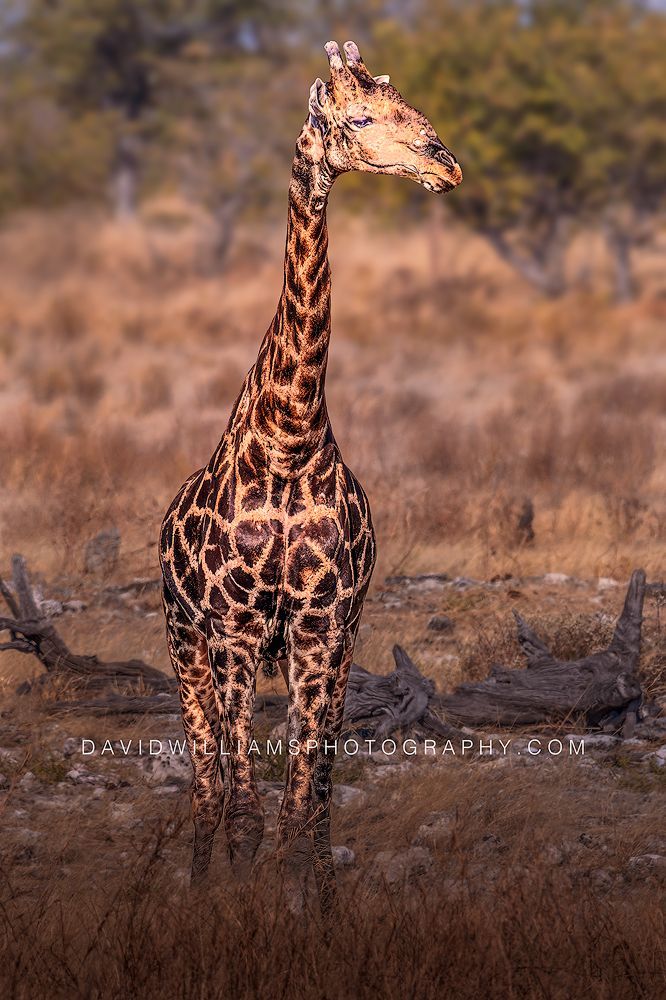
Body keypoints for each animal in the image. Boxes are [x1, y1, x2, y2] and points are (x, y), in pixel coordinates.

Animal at [159, 39, 461, 910]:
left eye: (410, 105)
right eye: (356, 119)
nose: (447, 165)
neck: (289, 438)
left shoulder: (325, 626)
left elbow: (304, 807)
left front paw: (312, 909)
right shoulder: (233, 628)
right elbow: (246, 813)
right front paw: (230, 911)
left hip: (318, 645)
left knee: (307, 781)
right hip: (185, 643)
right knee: (206, 786)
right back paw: (196, 890)